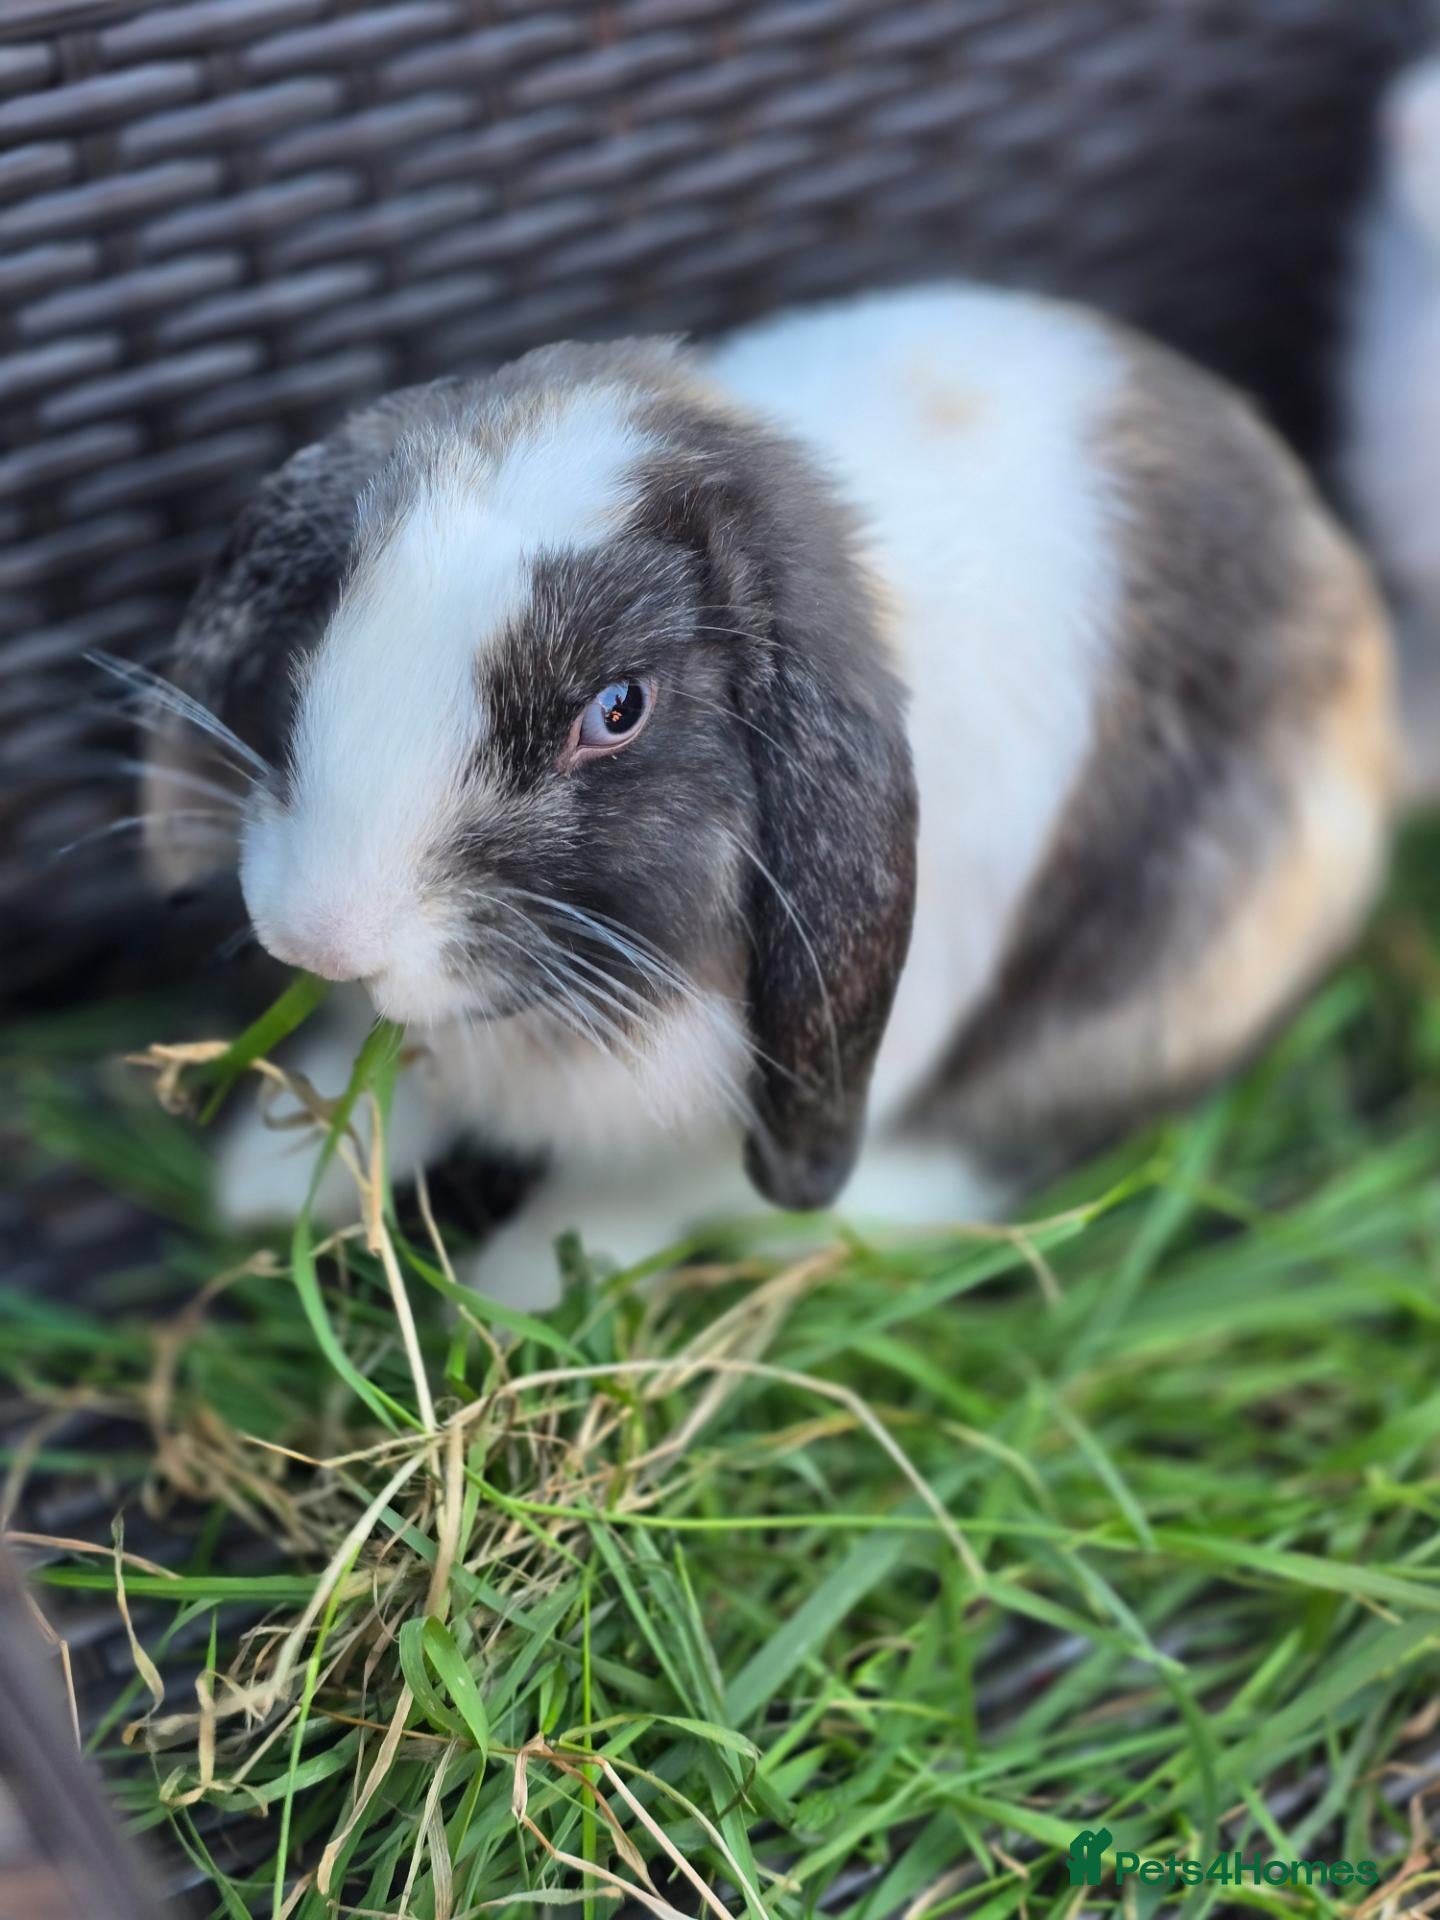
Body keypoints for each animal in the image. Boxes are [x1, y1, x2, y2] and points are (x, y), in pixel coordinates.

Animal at [141, 283, 1396, 1307]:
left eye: (618, 709)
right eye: (341, 615)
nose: (321, 937)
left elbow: (640, 1194)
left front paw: (519, 1295)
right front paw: (269, 1173)